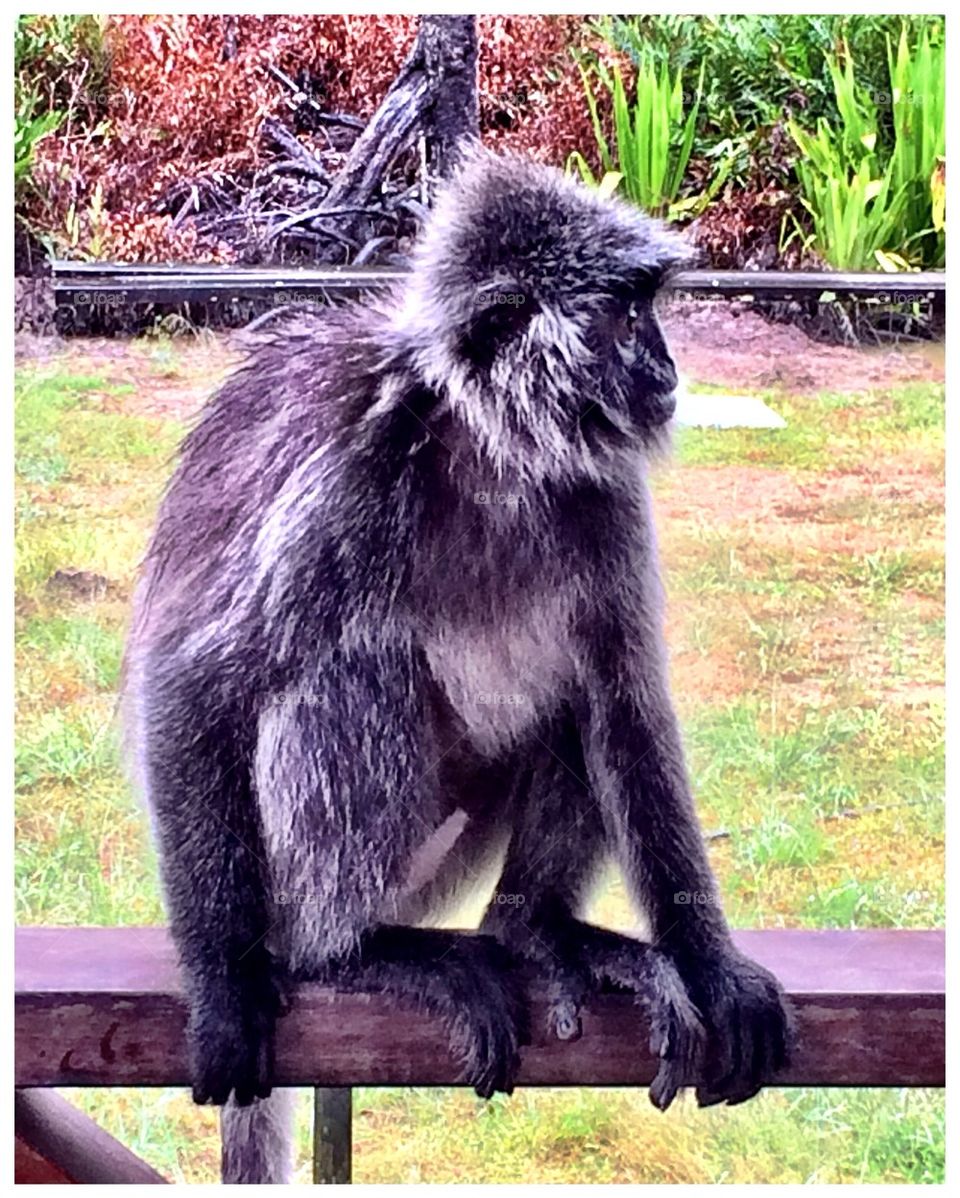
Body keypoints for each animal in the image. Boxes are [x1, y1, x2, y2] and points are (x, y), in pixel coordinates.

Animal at [124, 145, 792, 1184]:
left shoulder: (602, 492)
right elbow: (198, 684)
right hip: (311, 874)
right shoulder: (351, 466)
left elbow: (625, 701)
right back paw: (343, 956)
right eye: (625, 314)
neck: (492, 456)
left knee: (574, 702)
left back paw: (535, 929)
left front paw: (712, 968)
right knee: (353, 673)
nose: (665, 363)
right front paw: (225, 993)